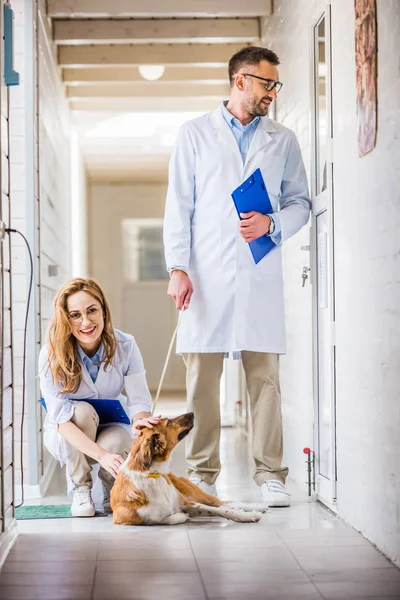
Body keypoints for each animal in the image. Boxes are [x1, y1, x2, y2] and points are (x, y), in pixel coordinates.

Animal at [110, 412, 266, 524]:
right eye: (169, 422)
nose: (191, 413)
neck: (152, 473)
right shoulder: (125, 519)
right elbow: (162, 519)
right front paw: (180, 516)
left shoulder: (187, 502)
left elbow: (222, 511)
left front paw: (246, 516)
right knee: (223, 504)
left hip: (194, 492)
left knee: (221, 503)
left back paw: (256, 507)